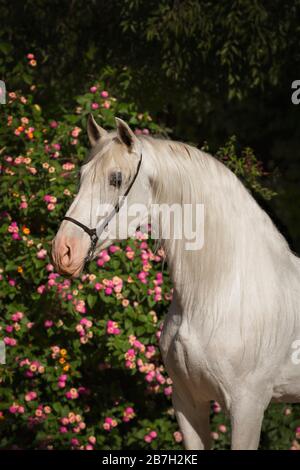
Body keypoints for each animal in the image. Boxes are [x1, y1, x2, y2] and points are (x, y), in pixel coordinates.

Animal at [52, 115, 300, 450]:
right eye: (81, 175)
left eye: (116, 178)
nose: (63, 251)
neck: (222, 292)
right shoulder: (188, 403)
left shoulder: (248, 408)